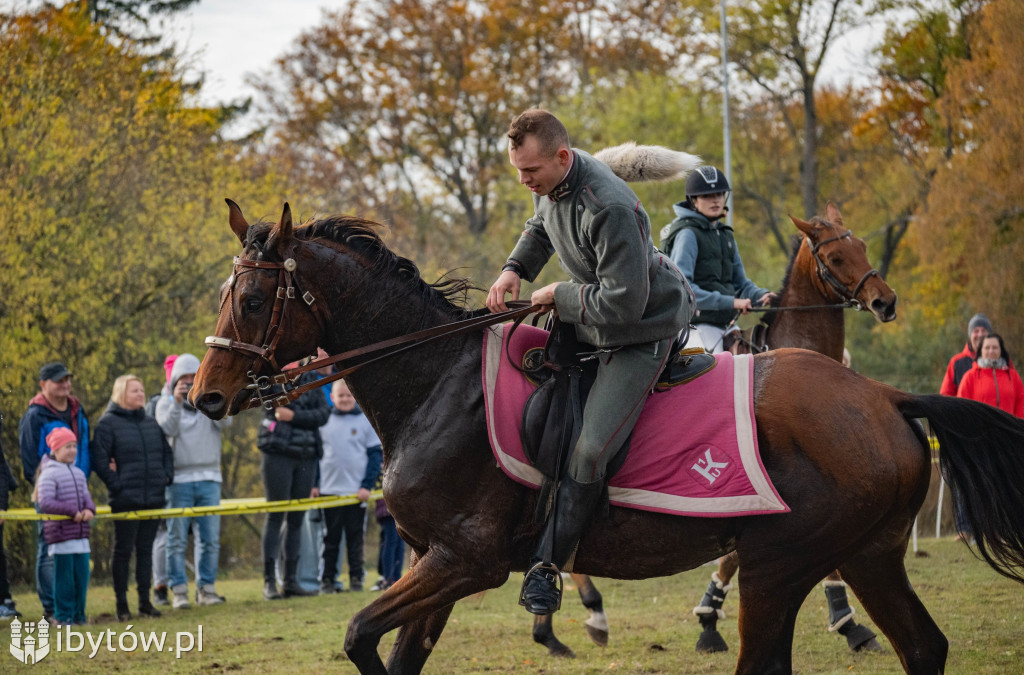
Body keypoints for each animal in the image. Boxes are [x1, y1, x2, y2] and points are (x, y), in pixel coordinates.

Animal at [188, 201, 1024, 675]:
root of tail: (883, 397)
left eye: (254, 298)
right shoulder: (433, 562)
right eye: (838, 255)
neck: (436, 381)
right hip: (864, 553)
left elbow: (361, 631)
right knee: (923, 647)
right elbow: (386, 649)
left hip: (782, 563)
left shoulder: (464, 561)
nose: (207, 395)